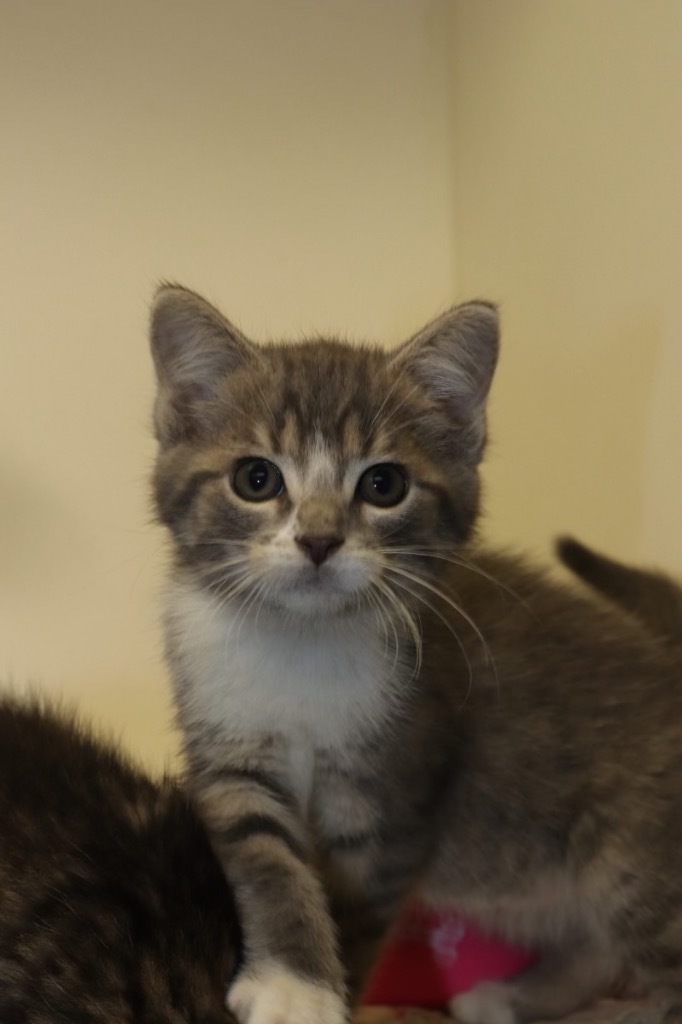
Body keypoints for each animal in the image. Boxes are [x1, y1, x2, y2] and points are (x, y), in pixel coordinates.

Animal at [148, 284, 679, 1024]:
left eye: (383, 486)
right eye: (256, 478)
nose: (318, 540)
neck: (303, 644)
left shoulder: (397, 789)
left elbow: (360, 908)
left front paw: (327, 992)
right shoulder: (228, 751)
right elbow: (266, 860)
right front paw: (294, 982)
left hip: (638, 853)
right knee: (592, 948)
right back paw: (512, 995)